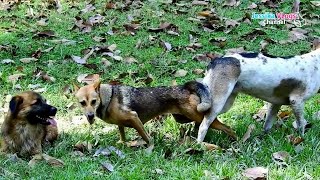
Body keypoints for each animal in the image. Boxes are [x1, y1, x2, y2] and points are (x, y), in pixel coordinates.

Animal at [74, 80, 236, 145]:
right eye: (82, 103)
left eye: (93, 101)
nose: (90, 116)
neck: (107, 97)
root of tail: (184, 87)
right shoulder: (121, 124)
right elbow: (122, 135)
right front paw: (123, 144)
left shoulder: (134, 118)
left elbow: (147, 138)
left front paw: (150, 147)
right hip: (183, 118)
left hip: (198, 116)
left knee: (227, 127)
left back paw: (235, 140)